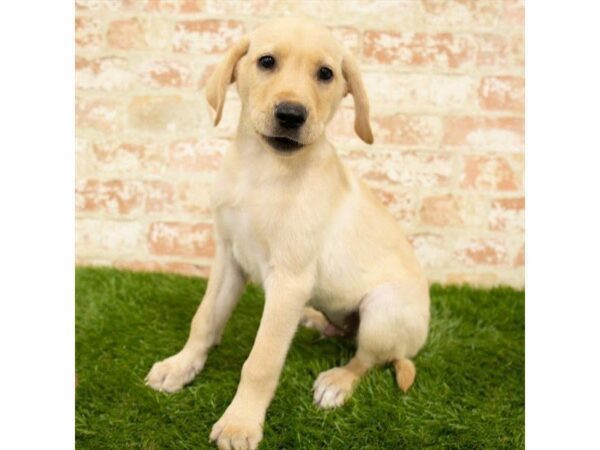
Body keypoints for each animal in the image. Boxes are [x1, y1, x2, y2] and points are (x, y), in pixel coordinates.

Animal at [147, 15, 428, 448]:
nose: (291, 114)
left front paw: (240, 423)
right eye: (266, 61)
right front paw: (181, 366)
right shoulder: (228, 256)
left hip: (383, 309)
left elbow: (261, 361)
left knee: (366, 359)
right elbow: (205, 318)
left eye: (326, 74)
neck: (262, 170)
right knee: (346, 333)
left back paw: (337, 382)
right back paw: (316, 322)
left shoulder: (289, 282)